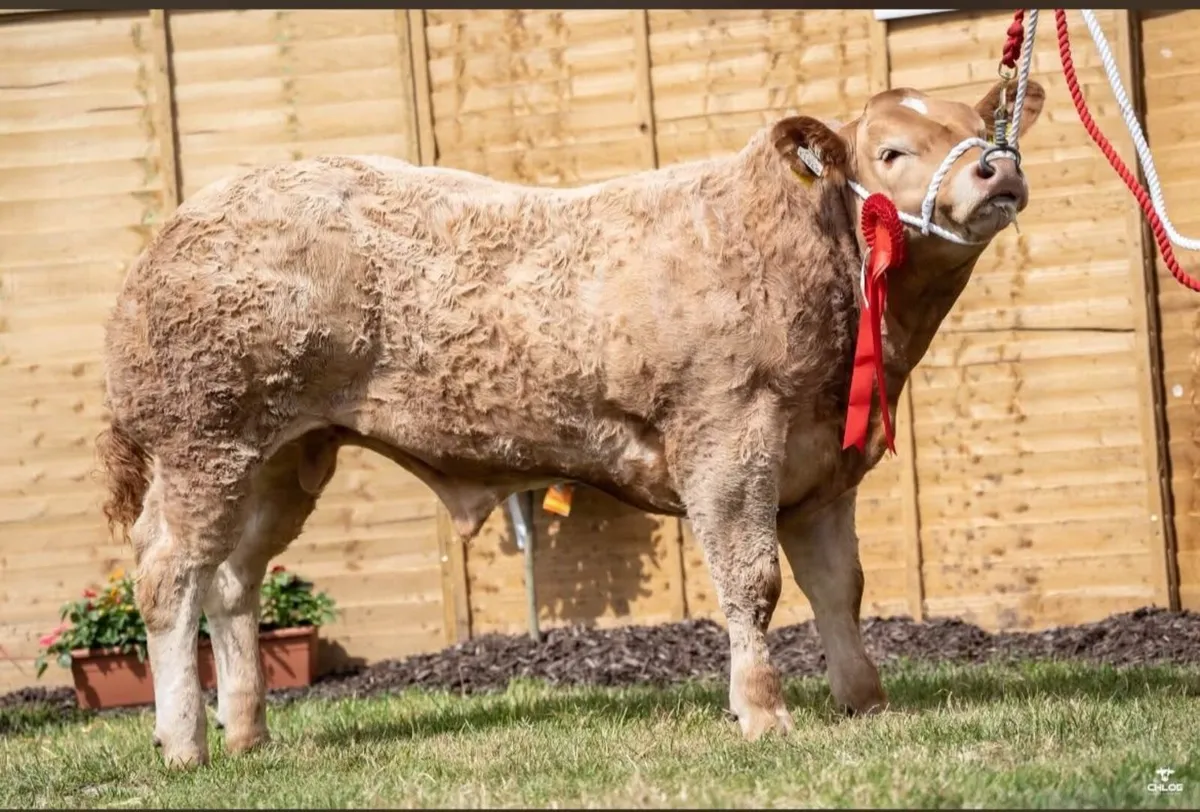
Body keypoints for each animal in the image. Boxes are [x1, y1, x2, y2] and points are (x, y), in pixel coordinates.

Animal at [97, 78, 1045, 767]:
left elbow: (838, 586)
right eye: (890, 149)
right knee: (168, 575)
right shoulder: (728, 437)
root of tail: (178, 225)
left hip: (283, 456)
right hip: (204, 440)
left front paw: (866, 703)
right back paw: (183, 745)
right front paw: (763, 714)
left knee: (233, 580)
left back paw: (248, 733)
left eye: (982, 125)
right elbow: (753, 583)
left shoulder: (823, 466)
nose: (996, 168)